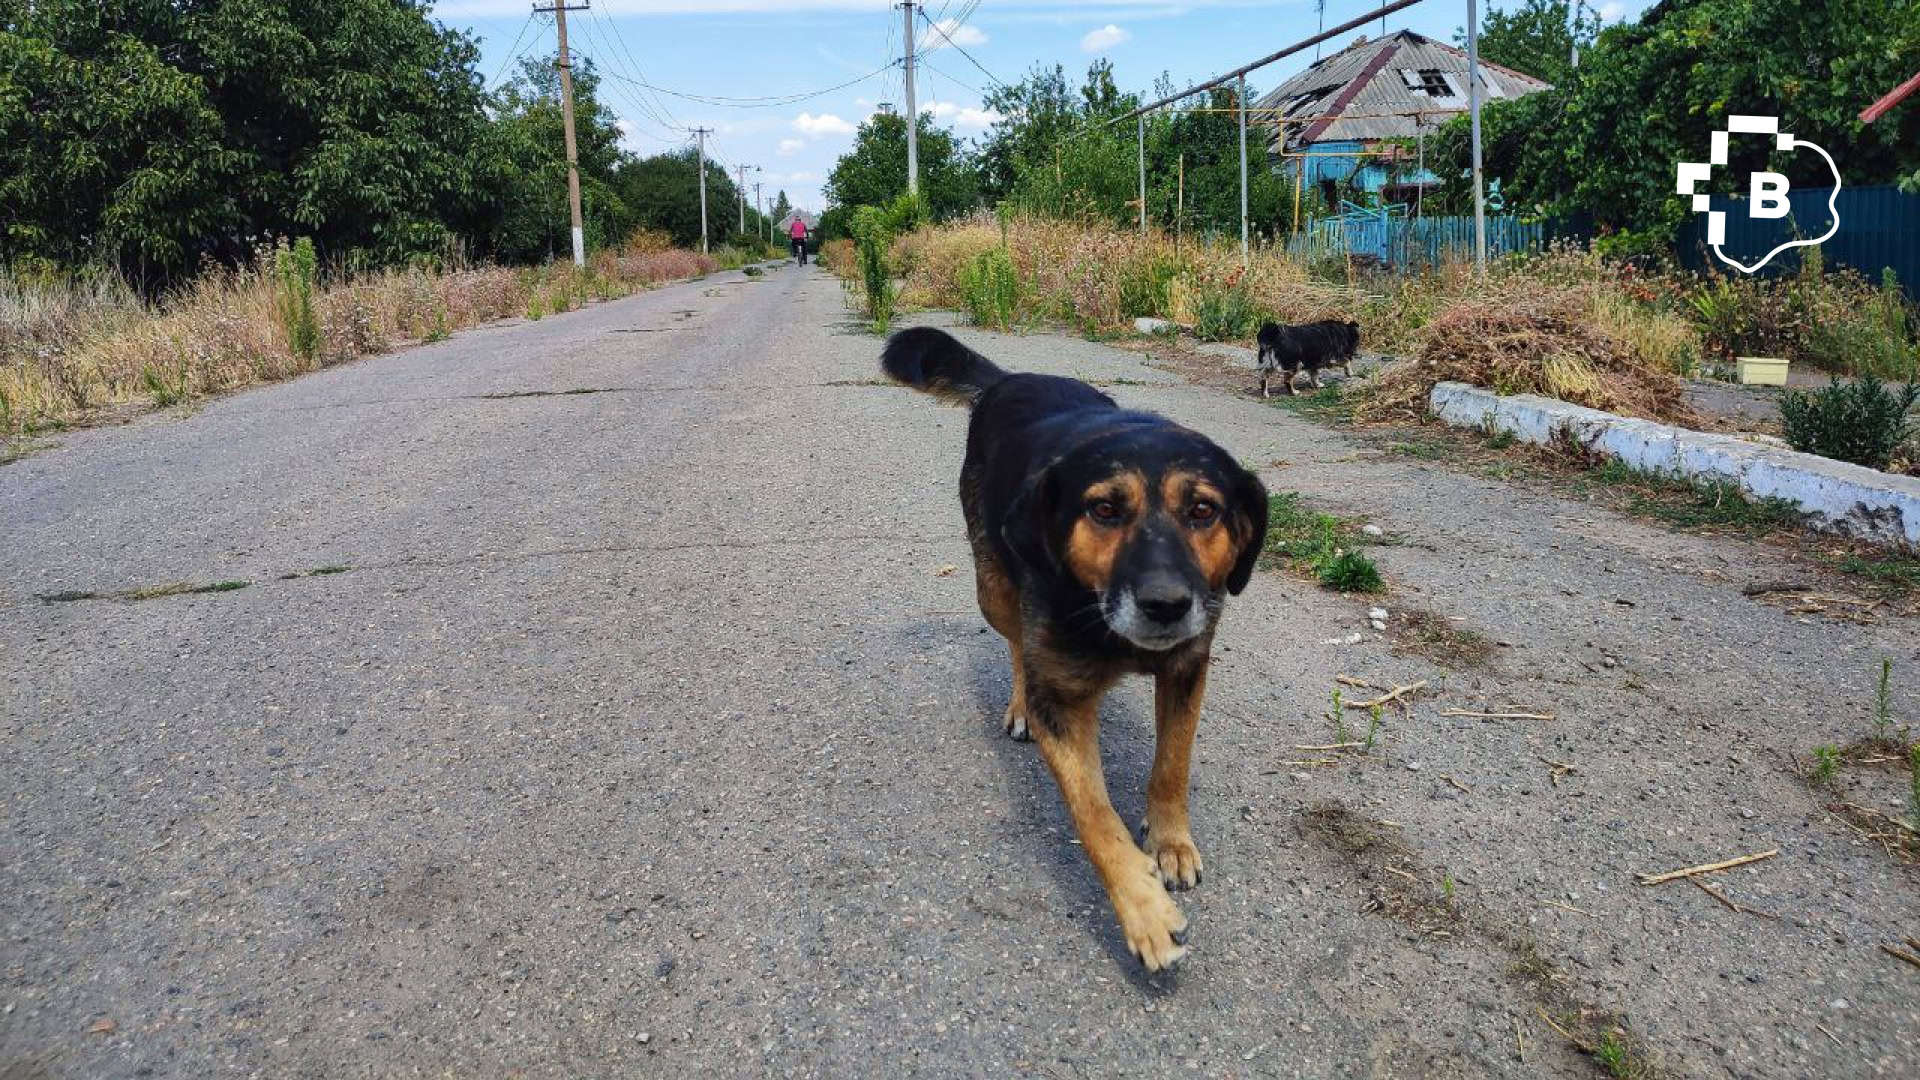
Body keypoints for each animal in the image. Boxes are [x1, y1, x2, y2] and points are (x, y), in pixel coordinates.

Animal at [887, 326, 1274, 968]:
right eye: (1104, 509)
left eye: (1202, 510)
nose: (1166, 604)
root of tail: (1010, 378)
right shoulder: (1063, 706)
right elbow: (1093, 814)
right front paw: (1142, 911)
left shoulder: (1188, 667)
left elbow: (1173, 761)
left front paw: (1170, 841)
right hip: (993, 590)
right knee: (1018, 644)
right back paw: (1019, 705)